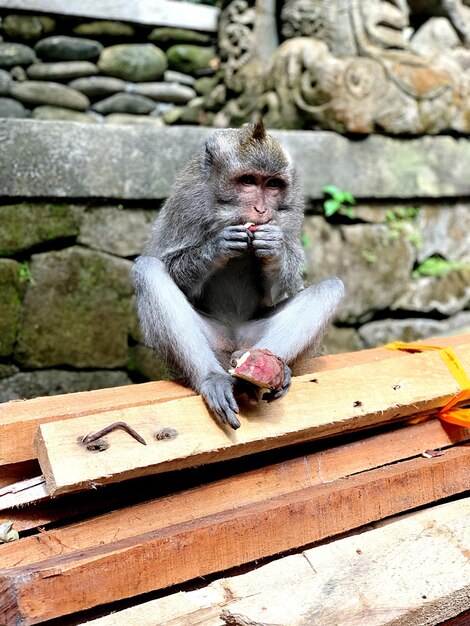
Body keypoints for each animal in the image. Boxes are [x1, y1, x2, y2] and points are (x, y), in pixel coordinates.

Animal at [132, 119, 346, 426]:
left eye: (272, 184)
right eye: (248, 181)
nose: (261, 209)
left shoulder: (292, 206)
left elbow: (283, 285)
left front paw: (275, 248)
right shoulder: (188, 199)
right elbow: (167, 262)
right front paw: (216, 247)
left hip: (252, 337)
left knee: (331, 288)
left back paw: (265, 369)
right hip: (208, 344)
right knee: (148, 269)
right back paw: (212, 378)